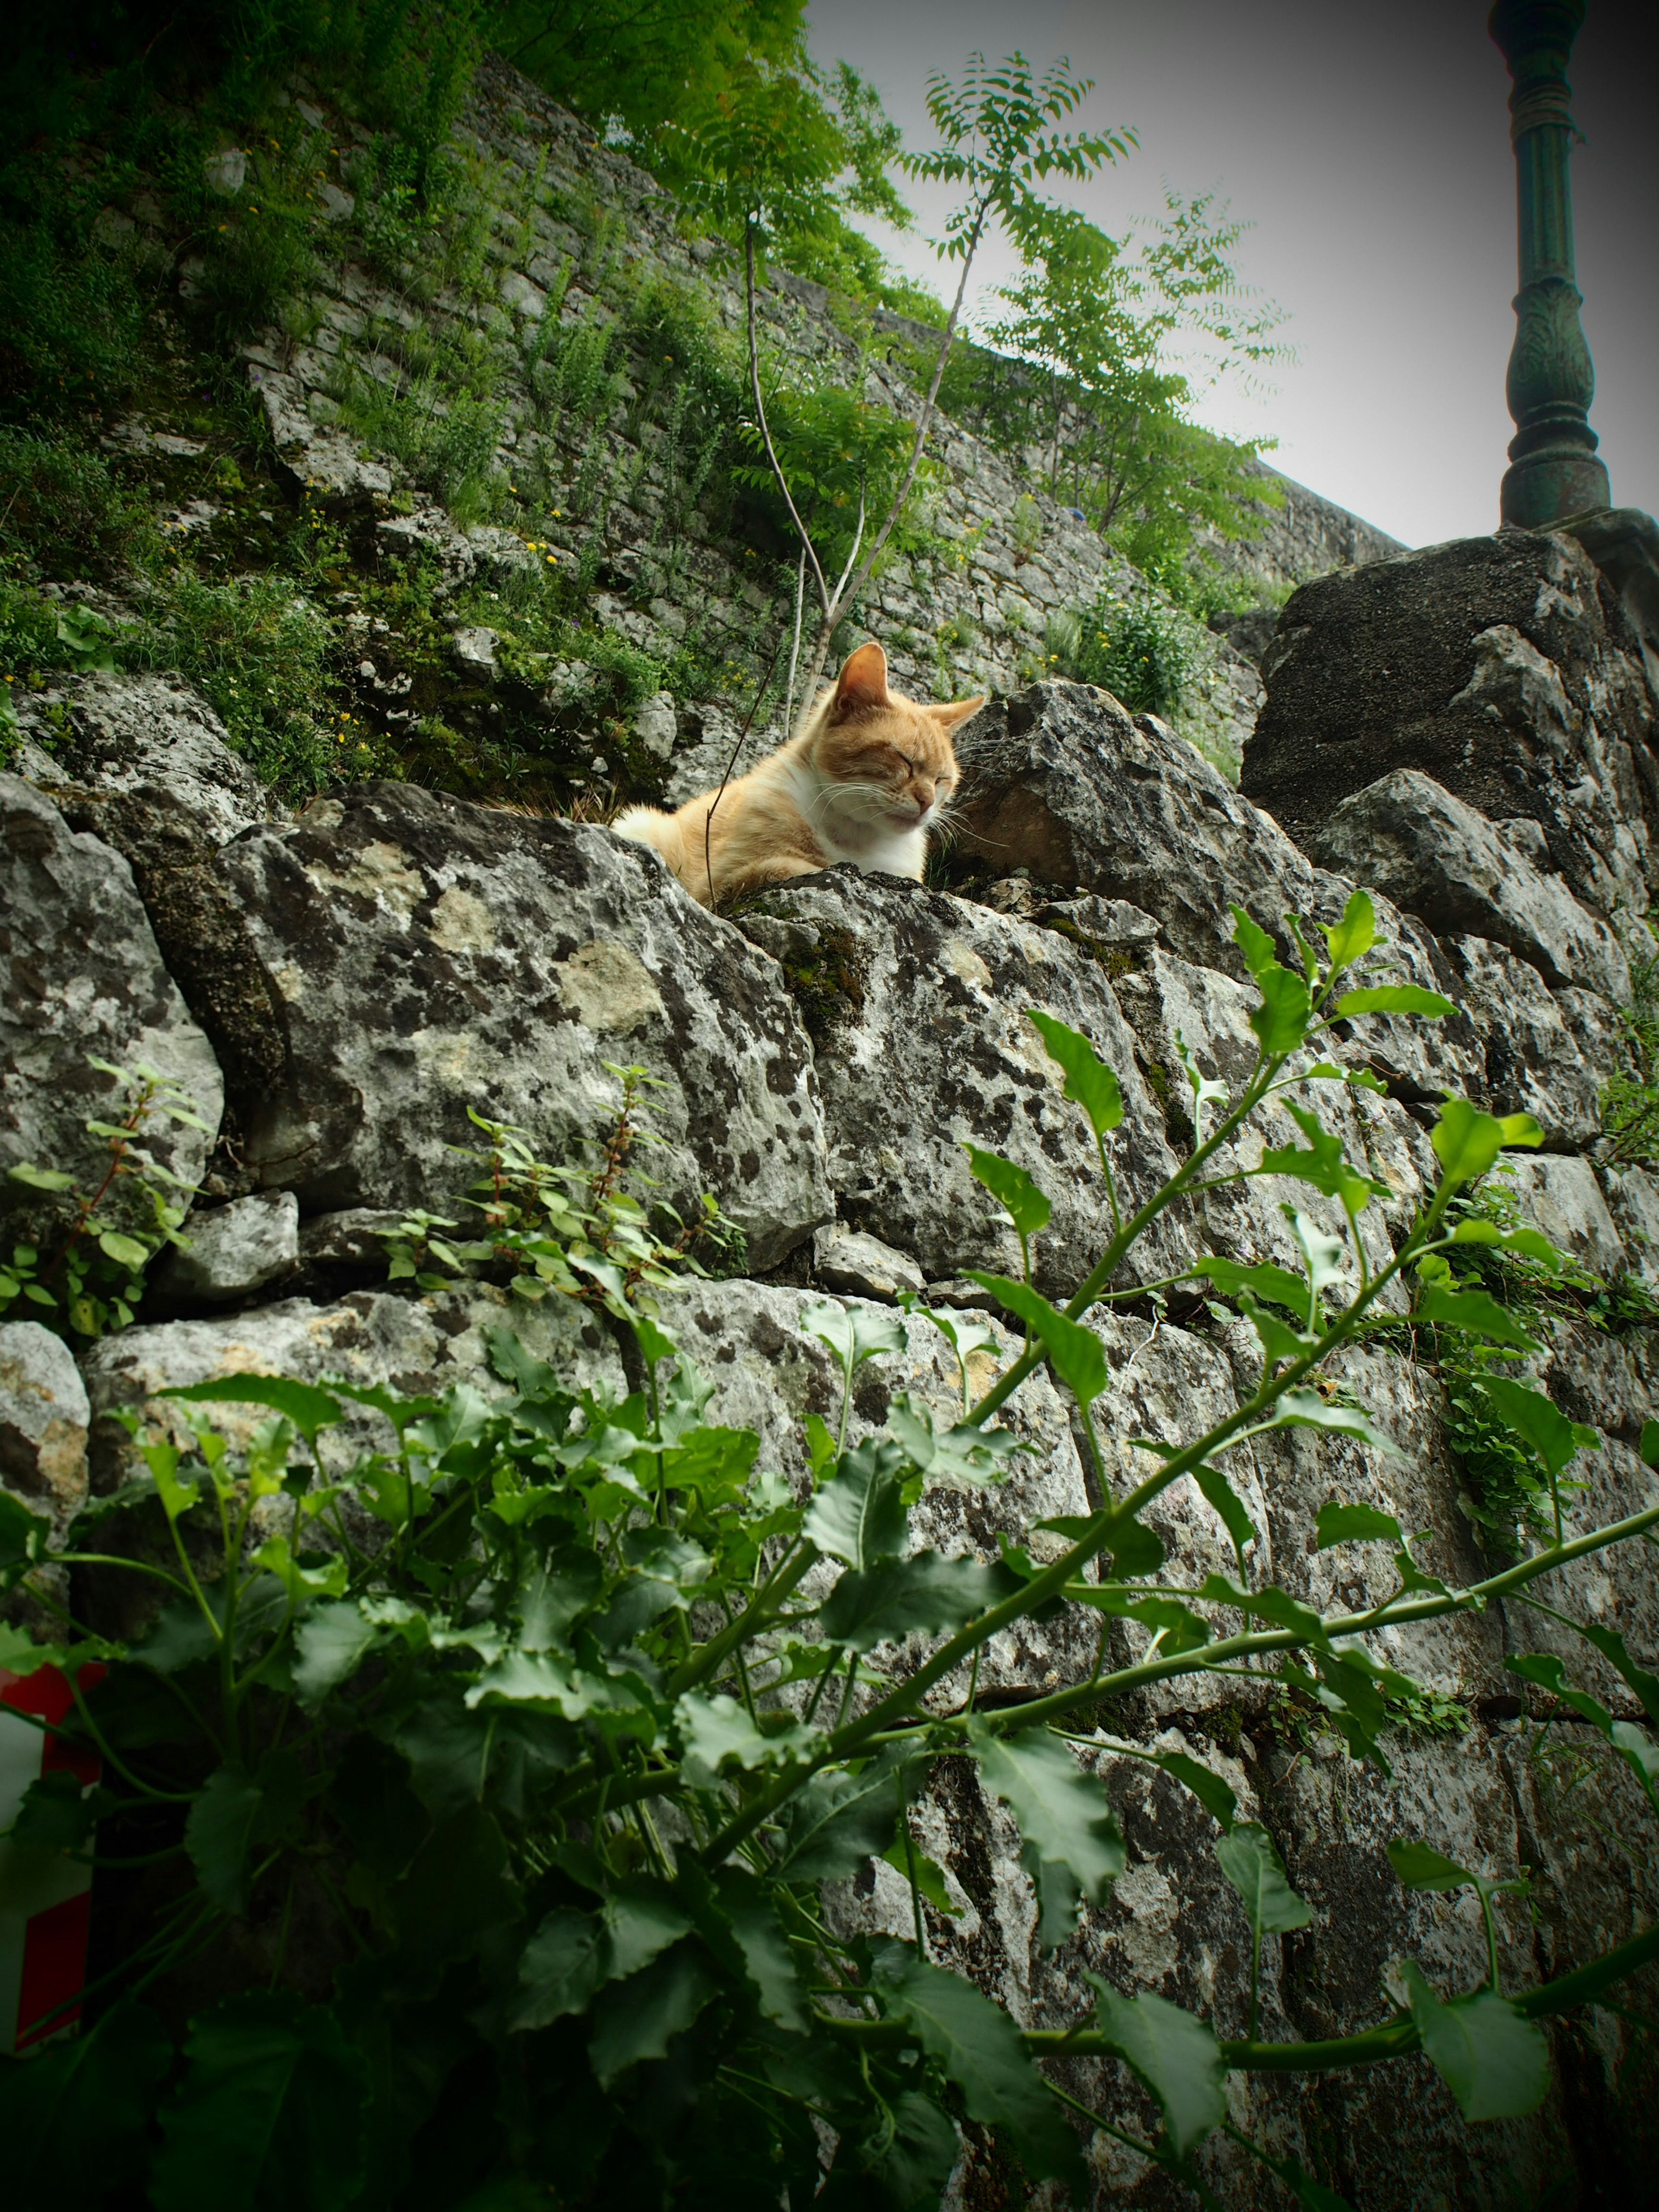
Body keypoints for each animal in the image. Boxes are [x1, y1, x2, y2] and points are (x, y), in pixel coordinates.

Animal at [619, 646, 986, 911]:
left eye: (941, 780)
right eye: (904, 760)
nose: (927, 801)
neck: (858, 838)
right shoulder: (720, 881)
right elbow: (800, 868)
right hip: (639, 823)